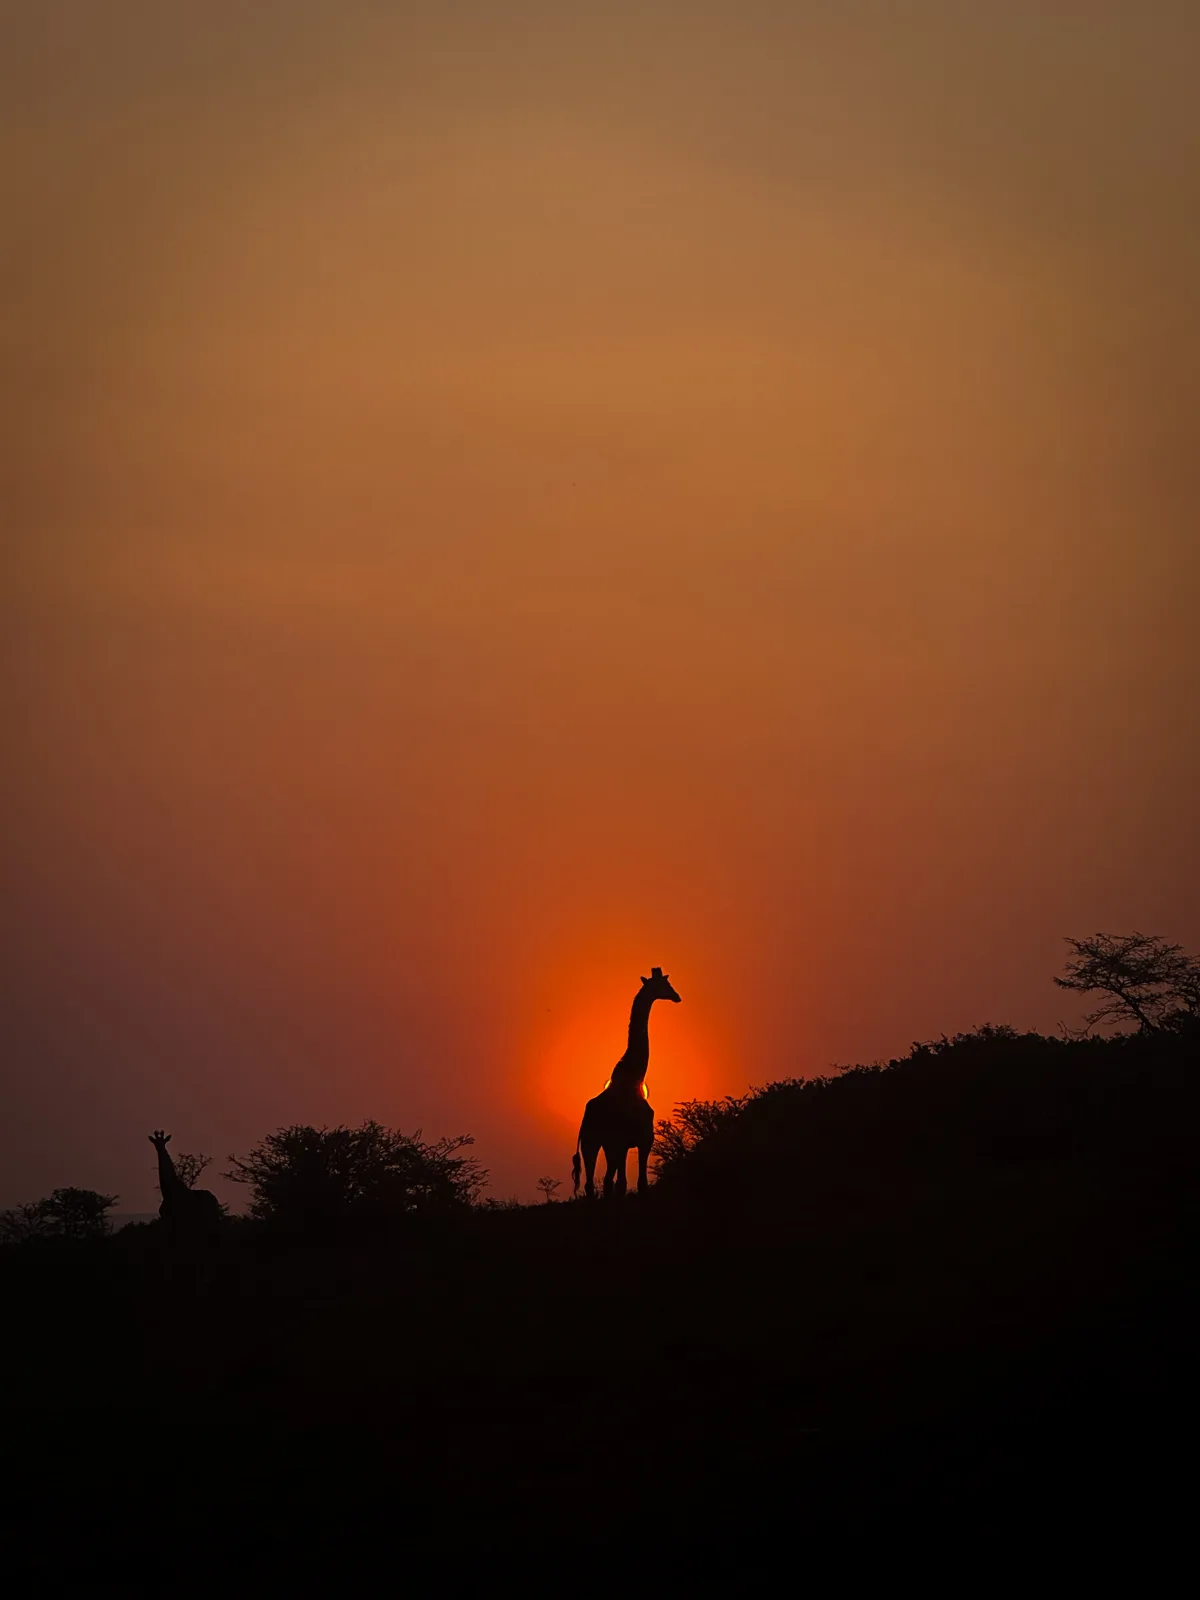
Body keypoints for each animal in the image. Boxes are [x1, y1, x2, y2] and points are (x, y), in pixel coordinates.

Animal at [572, 968, 681, 1198]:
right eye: (665, 984)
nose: (677, 996)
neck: (633, 1079)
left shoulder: (632, 1142)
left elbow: (629, 1183)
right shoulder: (636, 1140)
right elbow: (632, 1184)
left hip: (596, 1144)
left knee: (597, 1184)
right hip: (600, 1143)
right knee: (602, 1183)